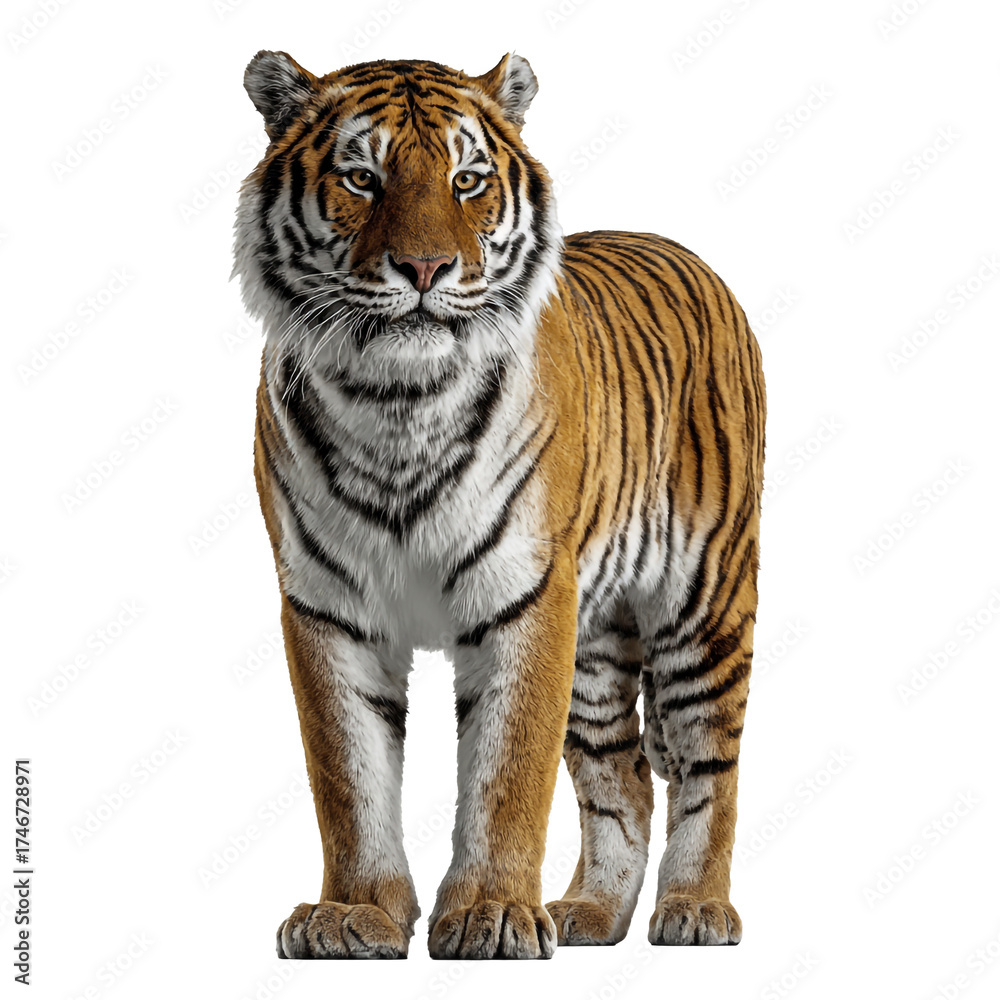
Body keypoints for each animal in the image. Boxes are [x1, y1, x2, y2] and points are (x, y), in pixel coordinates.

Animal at [233, 49, 766, 961]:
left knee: (709, 765)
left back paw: (696, 910)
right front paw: (354, 915)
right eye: (362, 178)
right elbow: (348, 775)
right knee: (624, 776)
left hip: (705, 605)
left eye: (468, 179)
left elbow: (507, 771)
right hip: (596, 642)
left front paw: (489, 915)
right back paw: (590, 912)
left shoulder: (526, 594)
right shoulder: (327, 604)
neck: (396, 402)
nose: (424, 270)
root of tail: (688, 254)